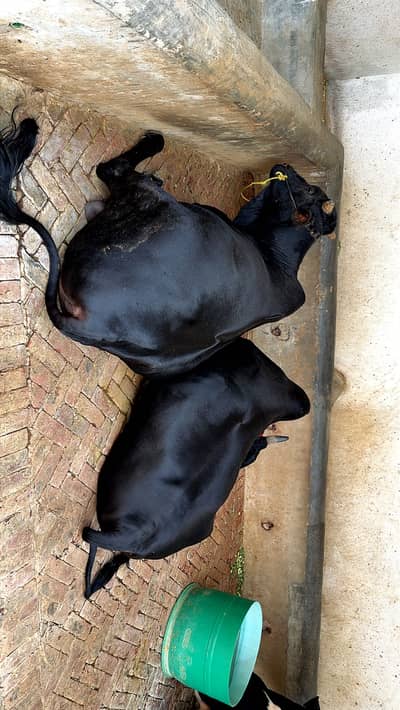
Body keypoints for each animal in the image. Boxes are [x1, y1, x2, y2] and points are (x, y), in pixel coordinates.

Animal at [0, 115, 336, 377]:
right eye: (313, 189)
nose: (285, 164)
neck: (275, 256)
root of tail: (94, 324)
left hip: (152, 201)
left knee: (112, 168)